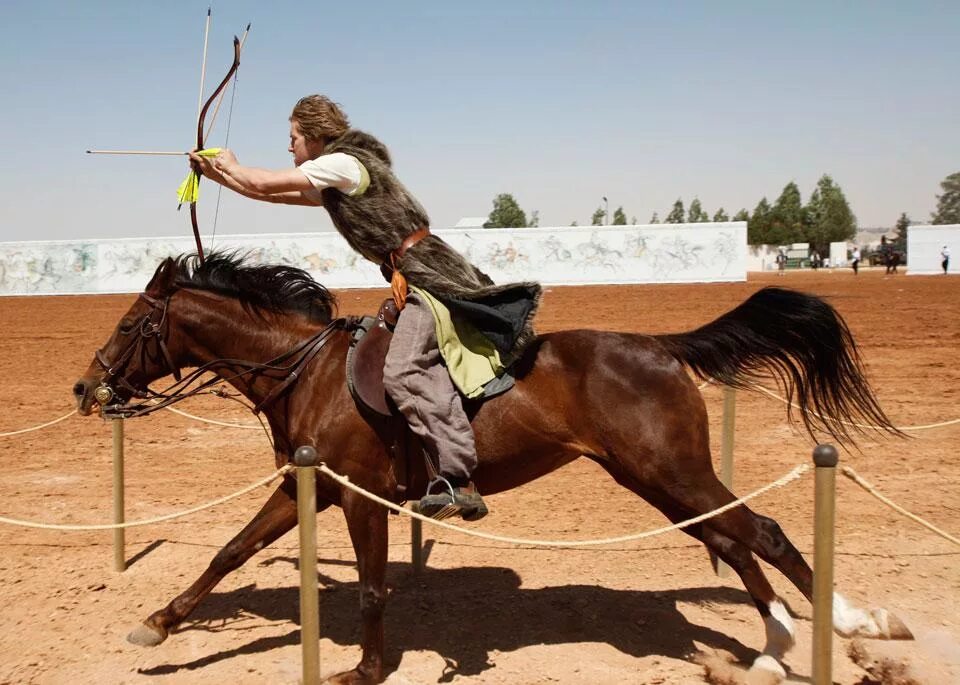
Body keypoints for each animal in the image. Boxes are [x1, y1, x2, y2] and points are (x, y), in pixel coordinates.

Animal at [71, 254, 912, 680]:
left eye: (130, 322)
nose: (85, 386)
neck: (308, 369)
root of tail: (659, 345)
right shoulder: (305, 487)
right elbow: (229, 549)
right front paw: (158, 623)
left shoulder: (364, 498)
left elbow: (372, 586)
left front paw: (366, 669)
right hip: (656, 479)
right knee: (733, 539)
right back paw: (773, 647)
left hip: (670, 471)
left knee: (762, 531)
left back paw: (851, 624)